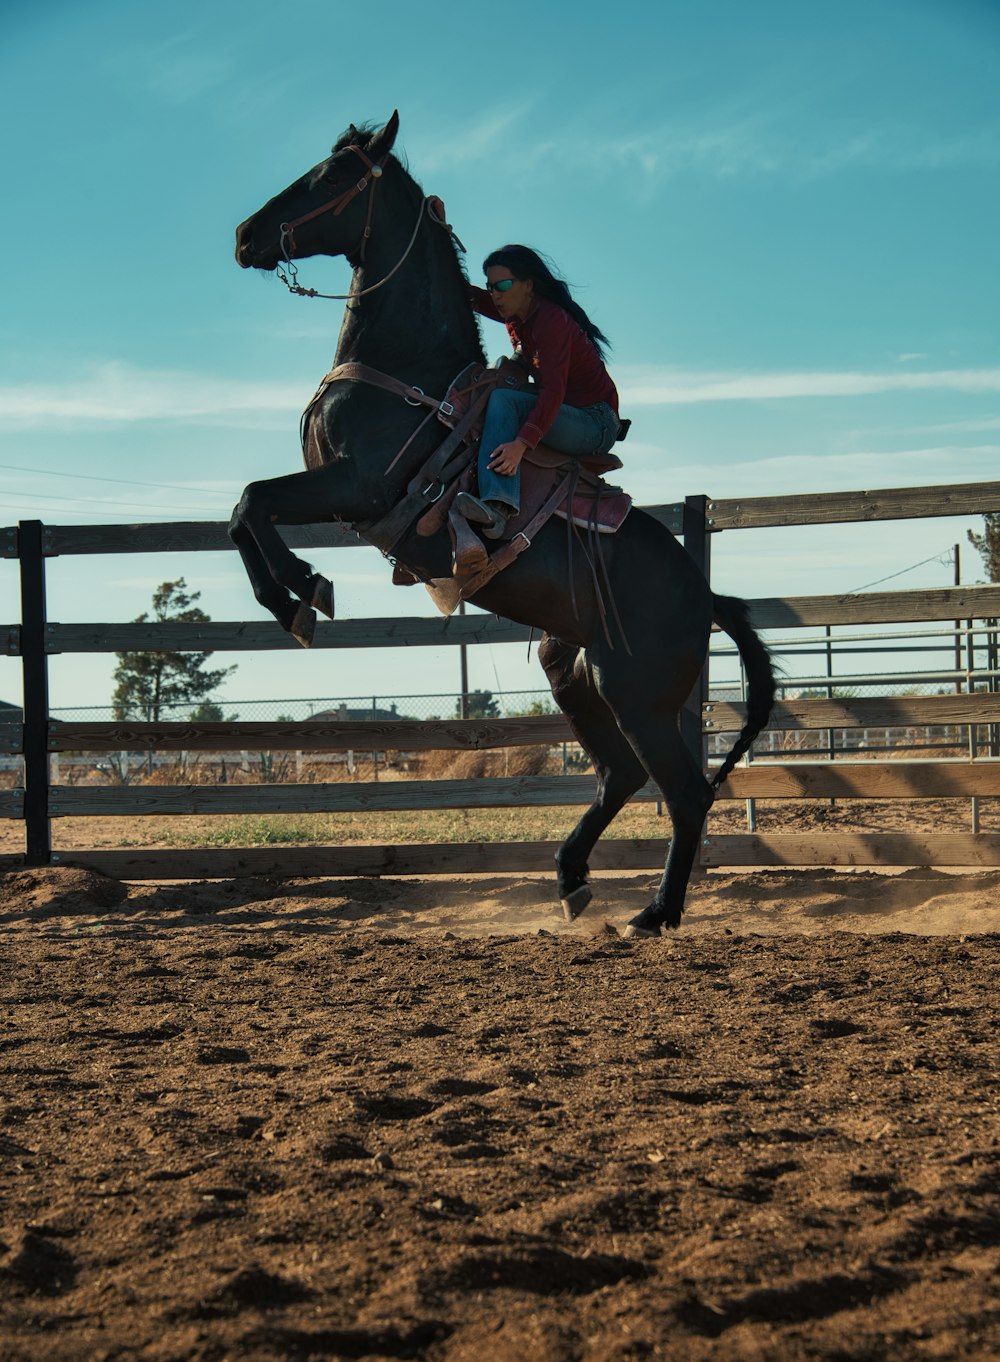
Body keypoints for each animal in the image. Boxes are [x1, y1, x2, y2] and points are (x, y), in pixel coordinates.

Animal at [228, 114, 773, 937]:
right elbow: (244, 509)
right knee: (620, 775)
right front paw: (294, 595)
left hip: (636, 693)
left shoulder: (354, 487)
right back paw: (574, 881)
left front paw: (300, 592)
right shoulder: (338, 494)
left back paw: (656, 912)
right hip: (572, 672)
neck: (412, 377)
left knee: (684, 791)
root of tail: (705, 597)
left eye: (332, 176)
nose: (246, 234)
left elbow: (253, 502)